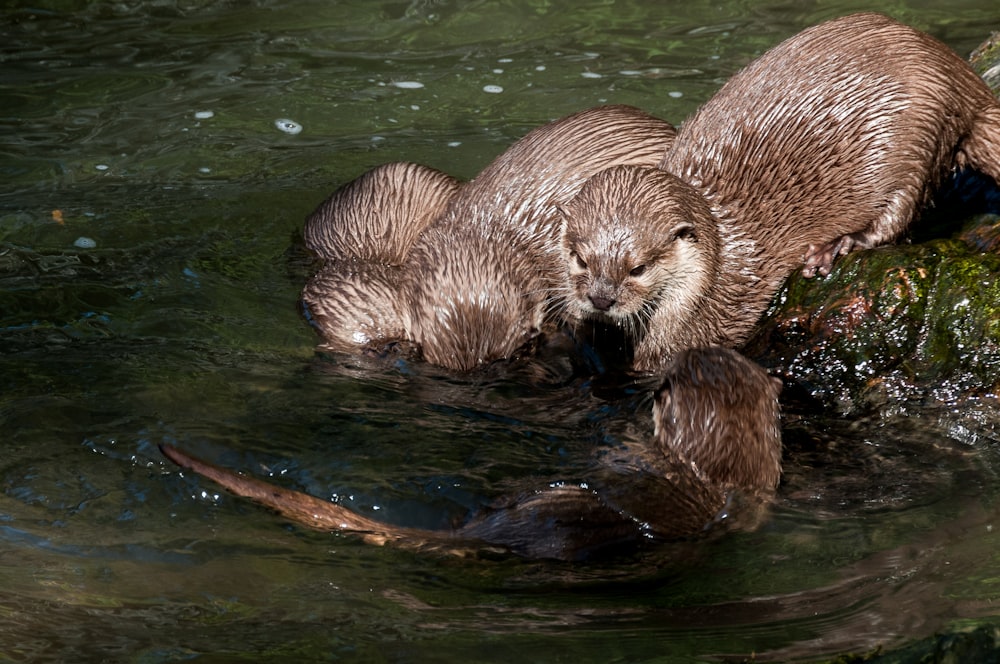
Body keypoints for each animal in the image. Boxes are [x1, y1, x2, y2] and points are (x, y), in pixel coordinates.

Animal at [560, 13, 1000, 374]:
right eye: (580, 259)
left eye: (638, 268)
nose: (601, 300)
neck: (718, 267)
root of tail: (963, 79)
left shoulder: (701, 324)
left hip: (917, 137)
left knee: (900, 213)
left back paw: (837, 246)